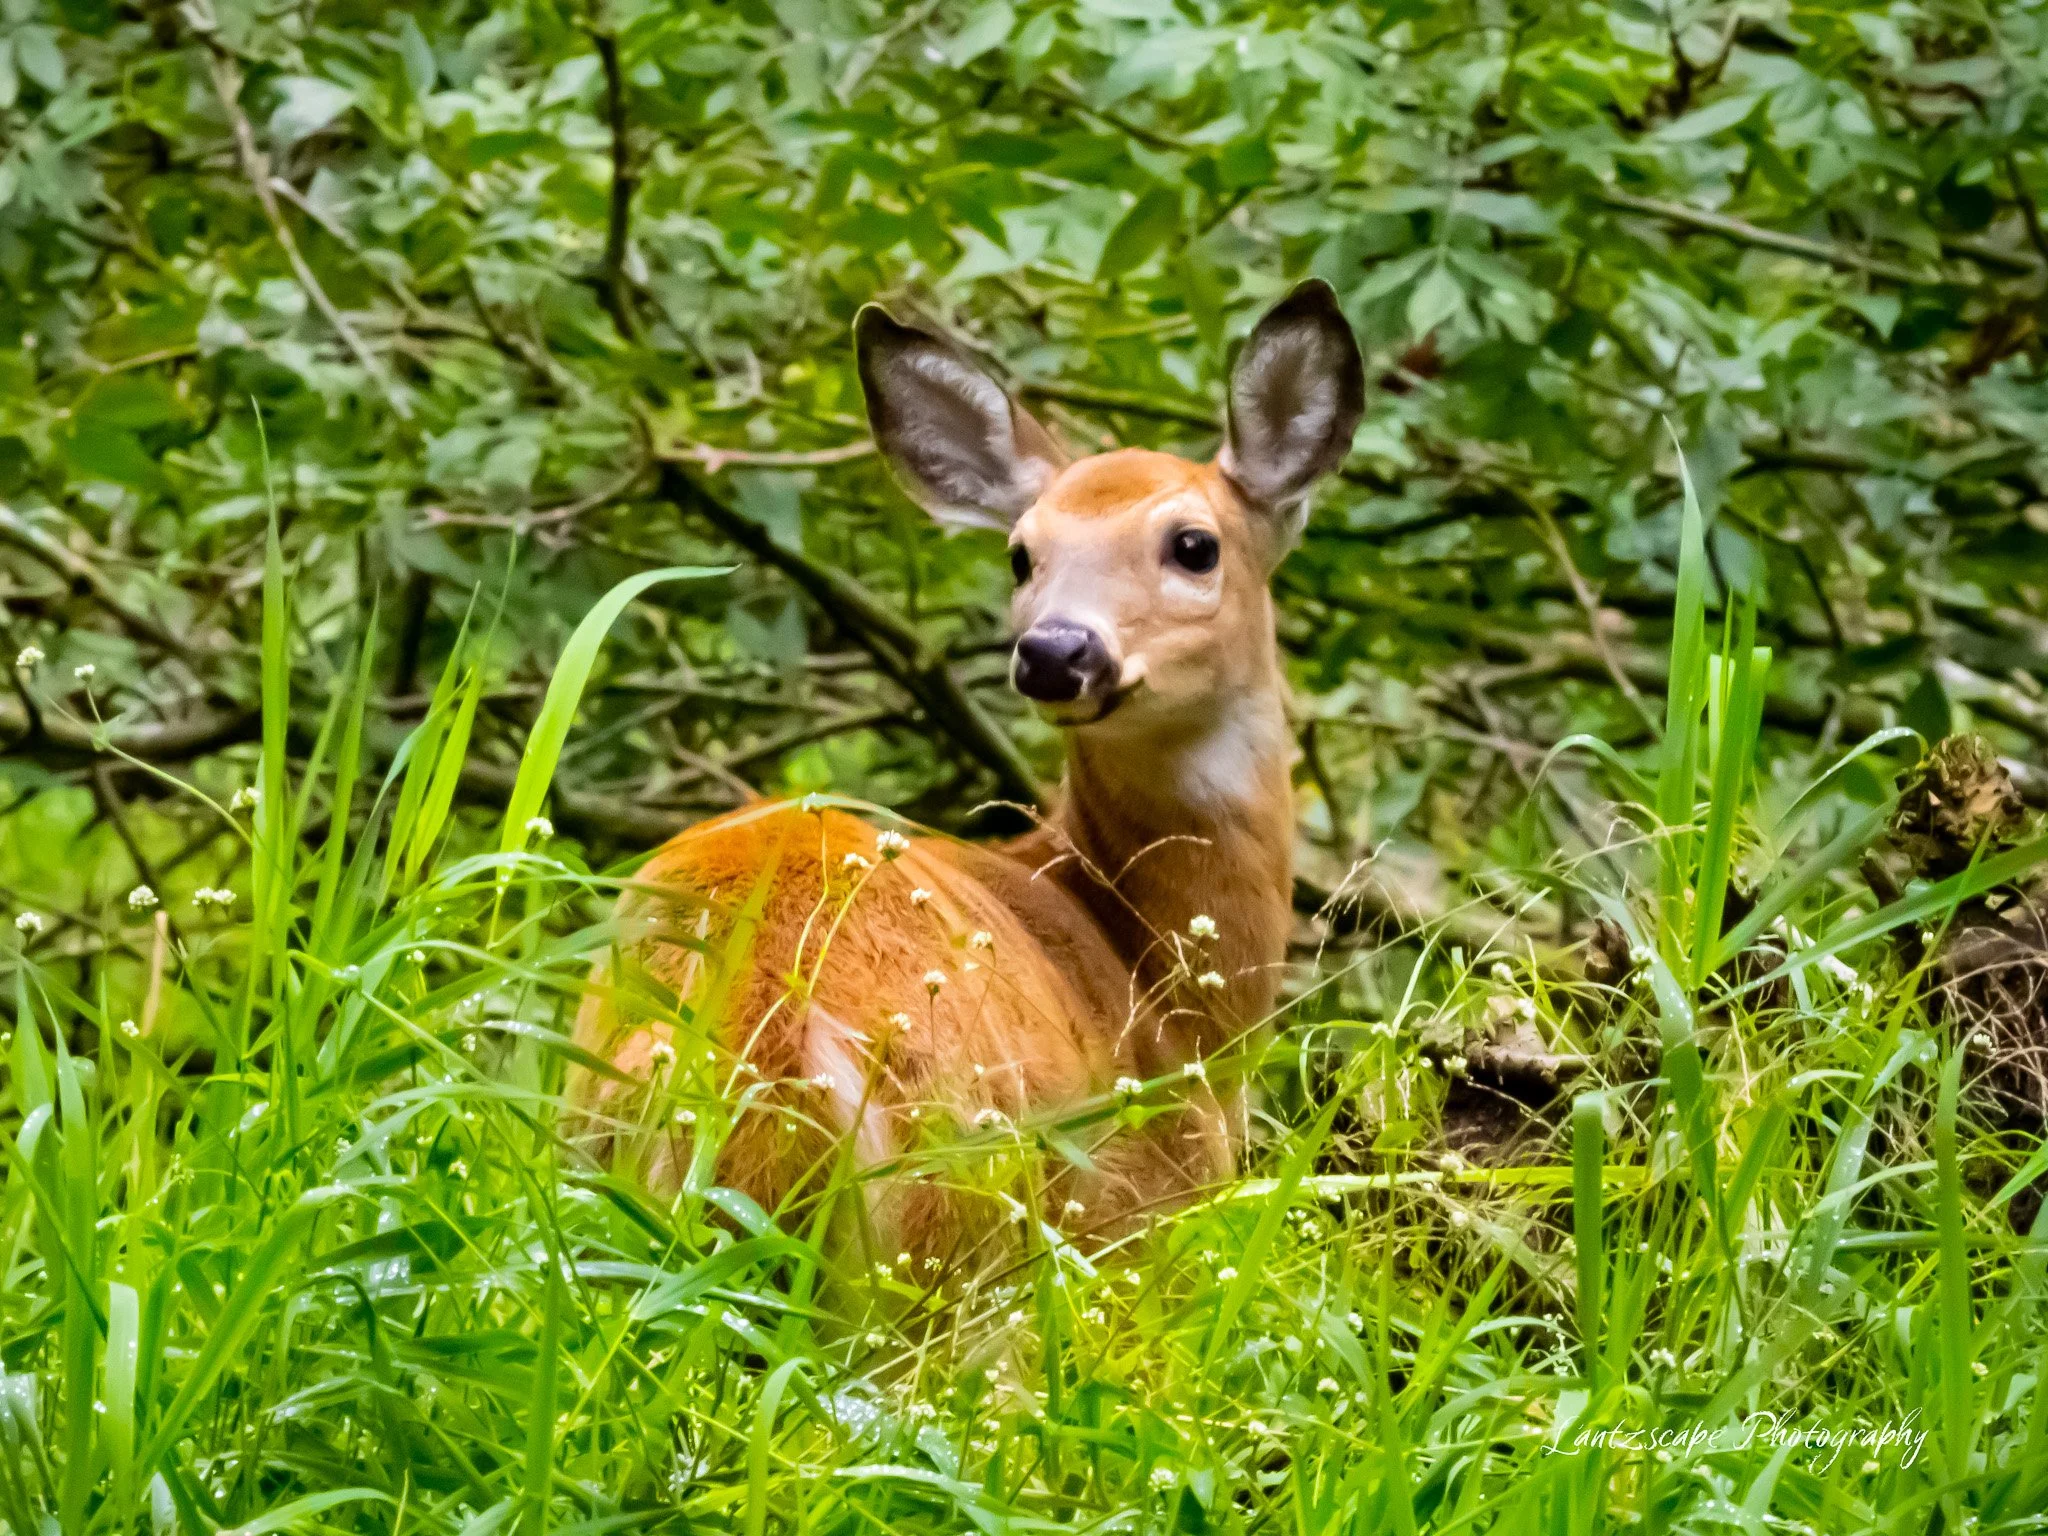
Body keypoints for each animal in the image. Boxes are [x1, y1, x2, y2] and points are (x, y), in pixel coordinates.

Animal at [570, 280, 1364, 1271]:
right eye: (1021, 553)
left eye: (1195, 545)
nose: (1057, 651)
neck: (1164, 992)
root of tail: (767, 1055)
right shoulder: (1145, 1227)